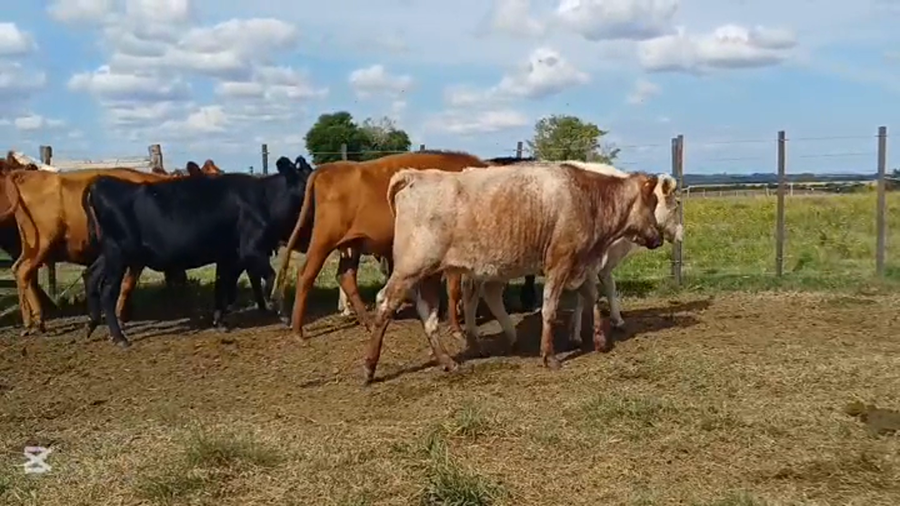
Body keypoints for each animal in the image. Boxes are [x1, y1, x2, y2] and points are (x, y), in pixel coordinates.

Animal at [82, 156, 312, 346]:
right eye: (306, 182)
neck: (263, 199)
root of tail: (101, 183)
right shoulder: (251, 250)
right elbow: (271, 277)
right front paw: (282, 313)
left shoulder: (229, 256)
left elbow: (222, 287)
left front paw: (220, 322)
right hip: (118, 254)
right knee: (108, 291)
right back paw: (119, 337)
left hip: (108, 254)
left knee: (90, 276)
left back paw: (92, 324)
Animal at [273, 150, 535, 340]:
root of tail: (330, 167)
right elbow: (454, 290)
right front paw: (457, 328)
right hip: (324, 240)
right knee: (306, 275)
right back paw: (298, 331)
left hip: (352, 245)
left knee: (345, 277)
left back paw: (369, 322)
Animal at [361, 162, 675, 384]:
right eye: (652, 203)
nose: (658, 238)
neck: (587, 198)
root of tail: (415, 176)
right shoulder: (560, 262)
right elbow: (549, 309)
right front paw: (549, 356)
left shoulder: (581, 263)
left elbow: (593, 298)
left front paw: (599, 340)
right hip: (411, 267)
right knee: (385, 302)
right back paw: (369, 367)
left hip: (426, 273)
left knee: (429, 315)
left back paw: (447, 361)